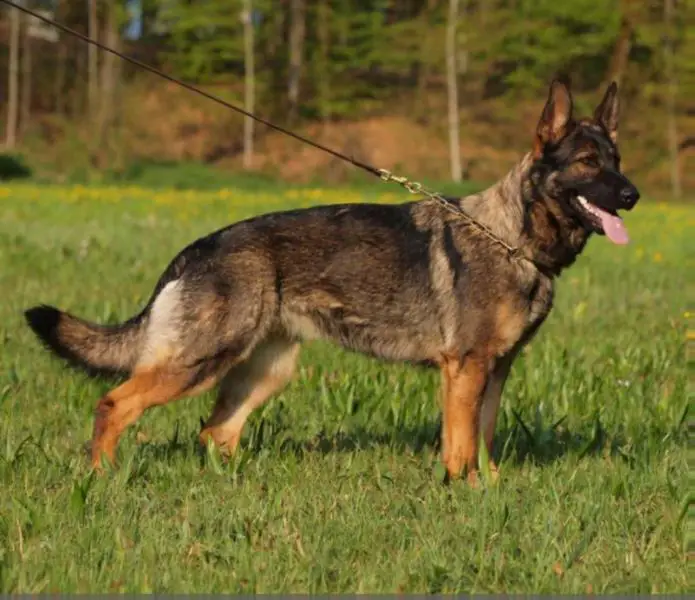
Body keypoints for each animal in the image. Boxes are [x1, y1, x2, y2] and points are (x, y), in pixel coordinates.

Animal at [24, 79, 639, 483]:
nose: (633, 195)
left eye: (616, 159)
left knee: (215, 433)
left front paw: (486, 491)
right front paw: (460, 492)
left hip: (266, 371)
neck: (512, 237)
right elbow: (462, 446)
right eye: (587, 162)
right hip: (200, 361)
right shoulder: (466, 369)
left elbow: (482, 442)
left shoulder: (495, 369)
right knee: (114, 403)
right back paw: (101, 478)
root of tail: (194, 250)